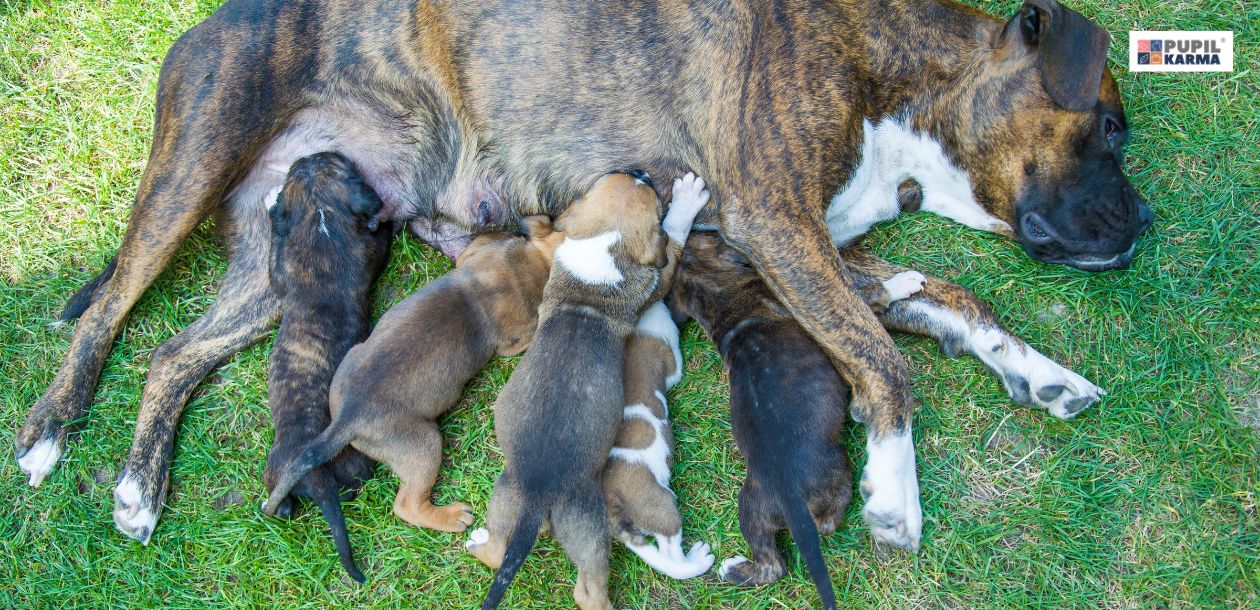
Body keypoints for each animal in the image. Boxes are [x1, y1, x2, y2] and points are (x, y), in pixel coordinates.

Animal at [259, 152, 388, 582]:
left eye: (332, 163)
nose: (309, 155)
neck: (320, 216)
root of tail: (317, 480)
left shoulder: (281, 271)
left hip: (278, 468)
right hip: (351, 467)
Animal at [262, 215, 561, 539]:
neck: (533, 264)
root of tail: (346, 419)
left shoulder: (475, 255)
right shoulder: (514, 340)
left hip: (352, 358)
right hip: (424, 445)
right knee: (407, 505)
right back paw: (451, 517)